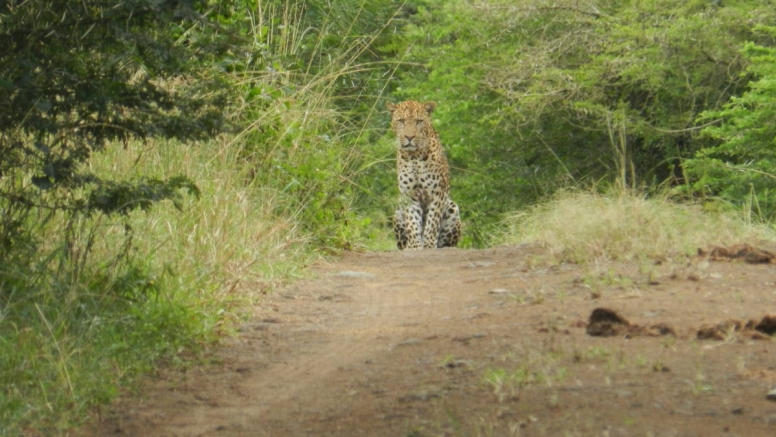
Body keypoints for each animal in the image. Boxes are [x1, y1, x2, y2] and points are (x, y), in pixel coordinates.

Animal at [386, 99, 460, 249]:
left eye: (419, 121)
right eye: (401, 121)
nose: (409, 137)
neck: (415, 156)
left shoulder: (438, 193)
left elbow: (432, 222)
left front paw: (429, 244)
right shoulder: (409, 194)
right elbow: (412, 220)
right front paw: (415, 245)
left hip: (452, 207)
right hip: (397, 212)